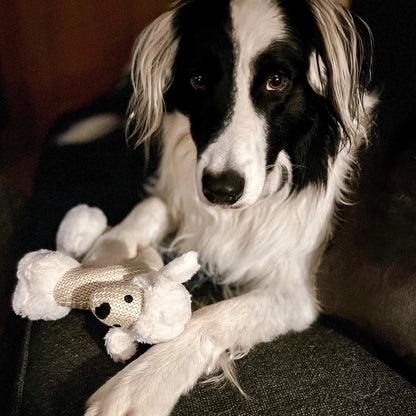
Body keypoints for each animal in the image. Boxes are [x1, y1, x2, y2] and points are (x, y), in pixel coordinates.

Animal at [83, 0, 376, 414]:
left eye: (276, 81)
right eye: (198, 80)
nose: (221, 190)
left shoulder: (294, 291)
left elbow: (209, 316)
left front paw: (138, 385)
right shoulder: (187, 191)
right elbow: (153, 204)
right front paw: (107, 254)